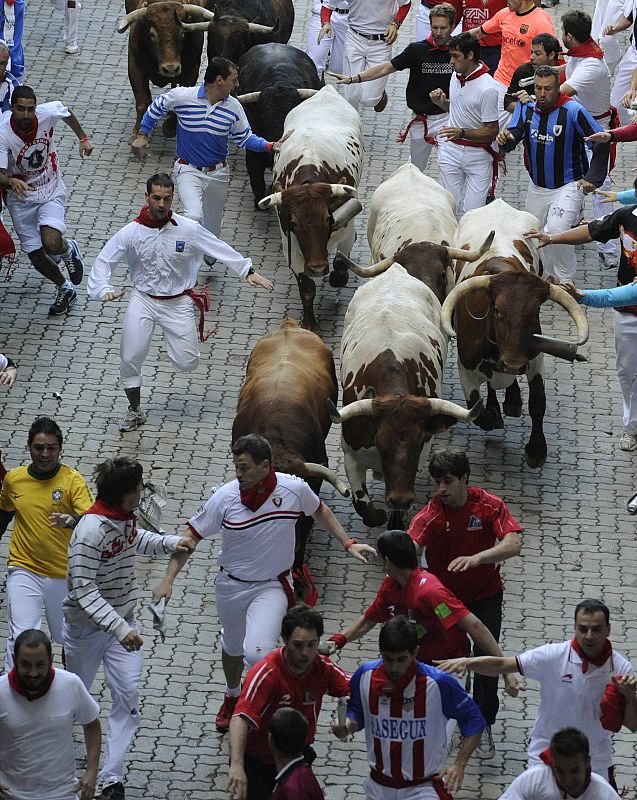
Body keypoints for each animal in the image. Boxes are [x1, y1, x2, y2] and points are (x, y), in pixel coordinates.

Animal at [442, 196, 588, 466]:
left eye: (534, 312)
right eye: (497, 310)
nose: (512, 363)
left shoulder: (534, 358)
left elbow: (538, 403)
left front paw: (536, 450)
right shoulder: (466, 367)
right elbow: (479, 412)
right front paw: (493, 413)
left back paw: (512, 400)